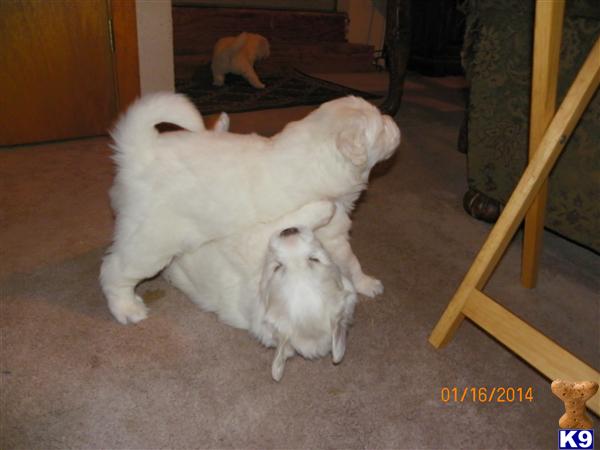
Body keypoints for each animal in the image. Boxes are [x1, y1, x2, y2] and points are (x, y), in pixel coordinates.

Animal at [164, 200, 356, 380]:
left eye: (315, 259)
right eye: (278, 267)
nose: (289, 232)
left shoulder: (245, 242)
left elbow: (269, 229)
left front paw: (325, 208)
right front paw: (326, 208)